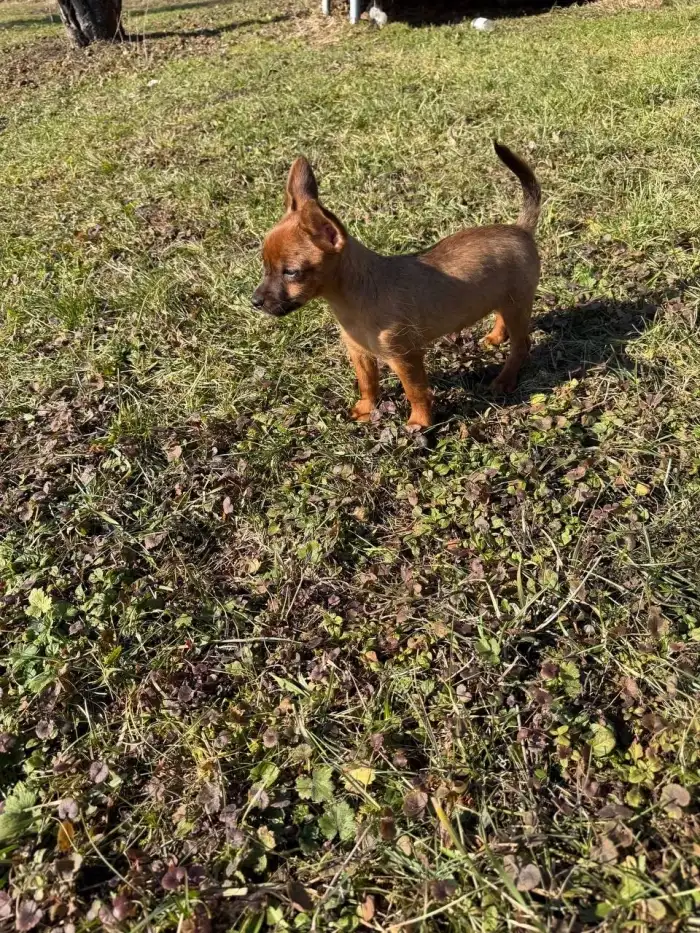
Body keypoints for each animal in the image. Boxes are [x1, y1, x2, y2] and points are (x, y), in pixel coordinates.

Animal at [253, 141, 541, 429]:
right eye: (265, 266)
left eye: (292, 272)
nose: (255, 302)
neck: (355, 297)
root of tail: (520, 229)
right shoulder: (359, 353)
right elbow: (368, 384)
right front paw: (367, 409)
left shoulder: (405, 358)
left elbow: (416, 392)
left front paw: (420, 423)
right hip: (505, 299)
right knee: (502, 317)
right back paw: (496, 337)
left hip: (517, 305)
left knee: (521, 345)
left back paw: (505, 379)